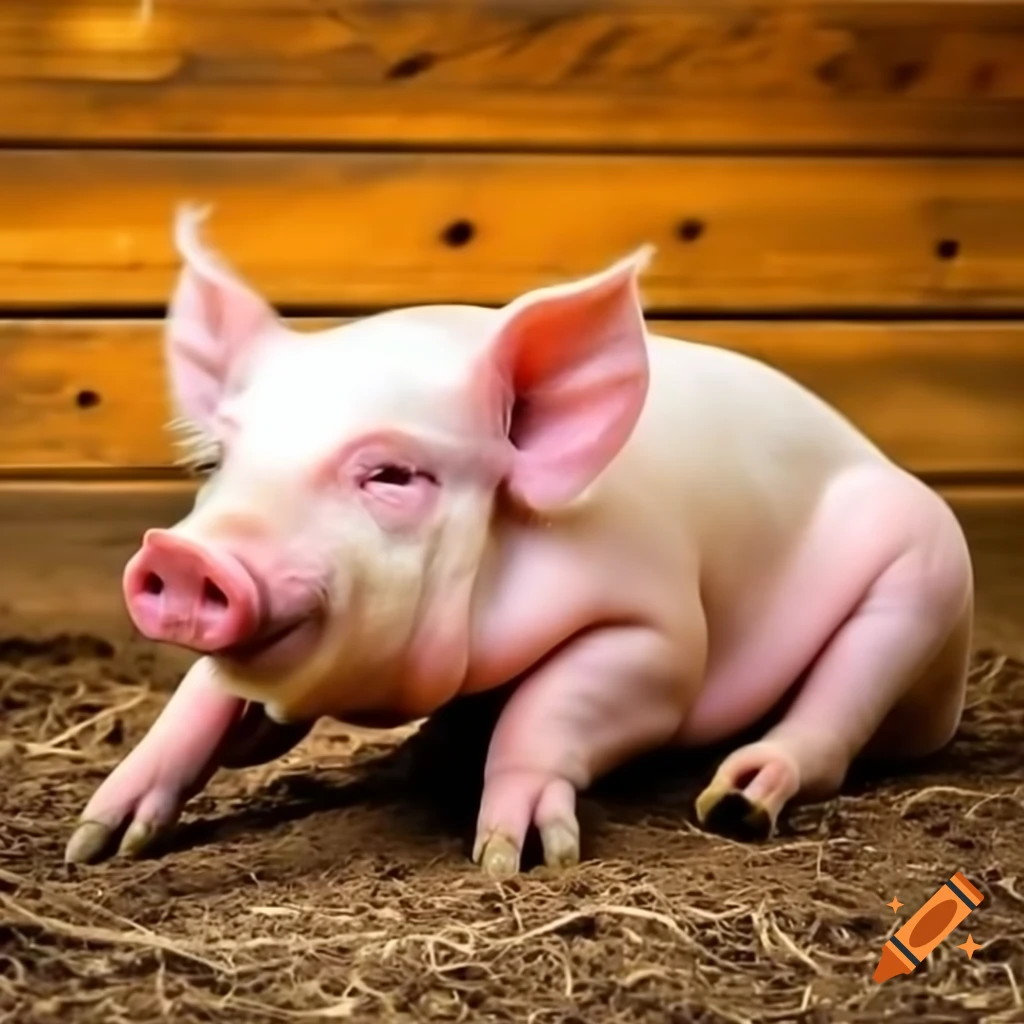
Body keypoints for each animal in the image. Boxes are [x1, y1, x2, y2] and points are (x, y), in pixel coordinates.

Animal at [65, 206, 973, 879]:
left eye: (392, 474)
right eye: (216, 461)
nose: (187, 556)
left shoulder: (656, 626)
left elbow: (557, 702)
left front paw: (515, 856)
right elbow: (200, 694)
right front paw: (94, 840)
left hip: (926, 577)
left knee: (835, 713)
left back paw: (738, 802)